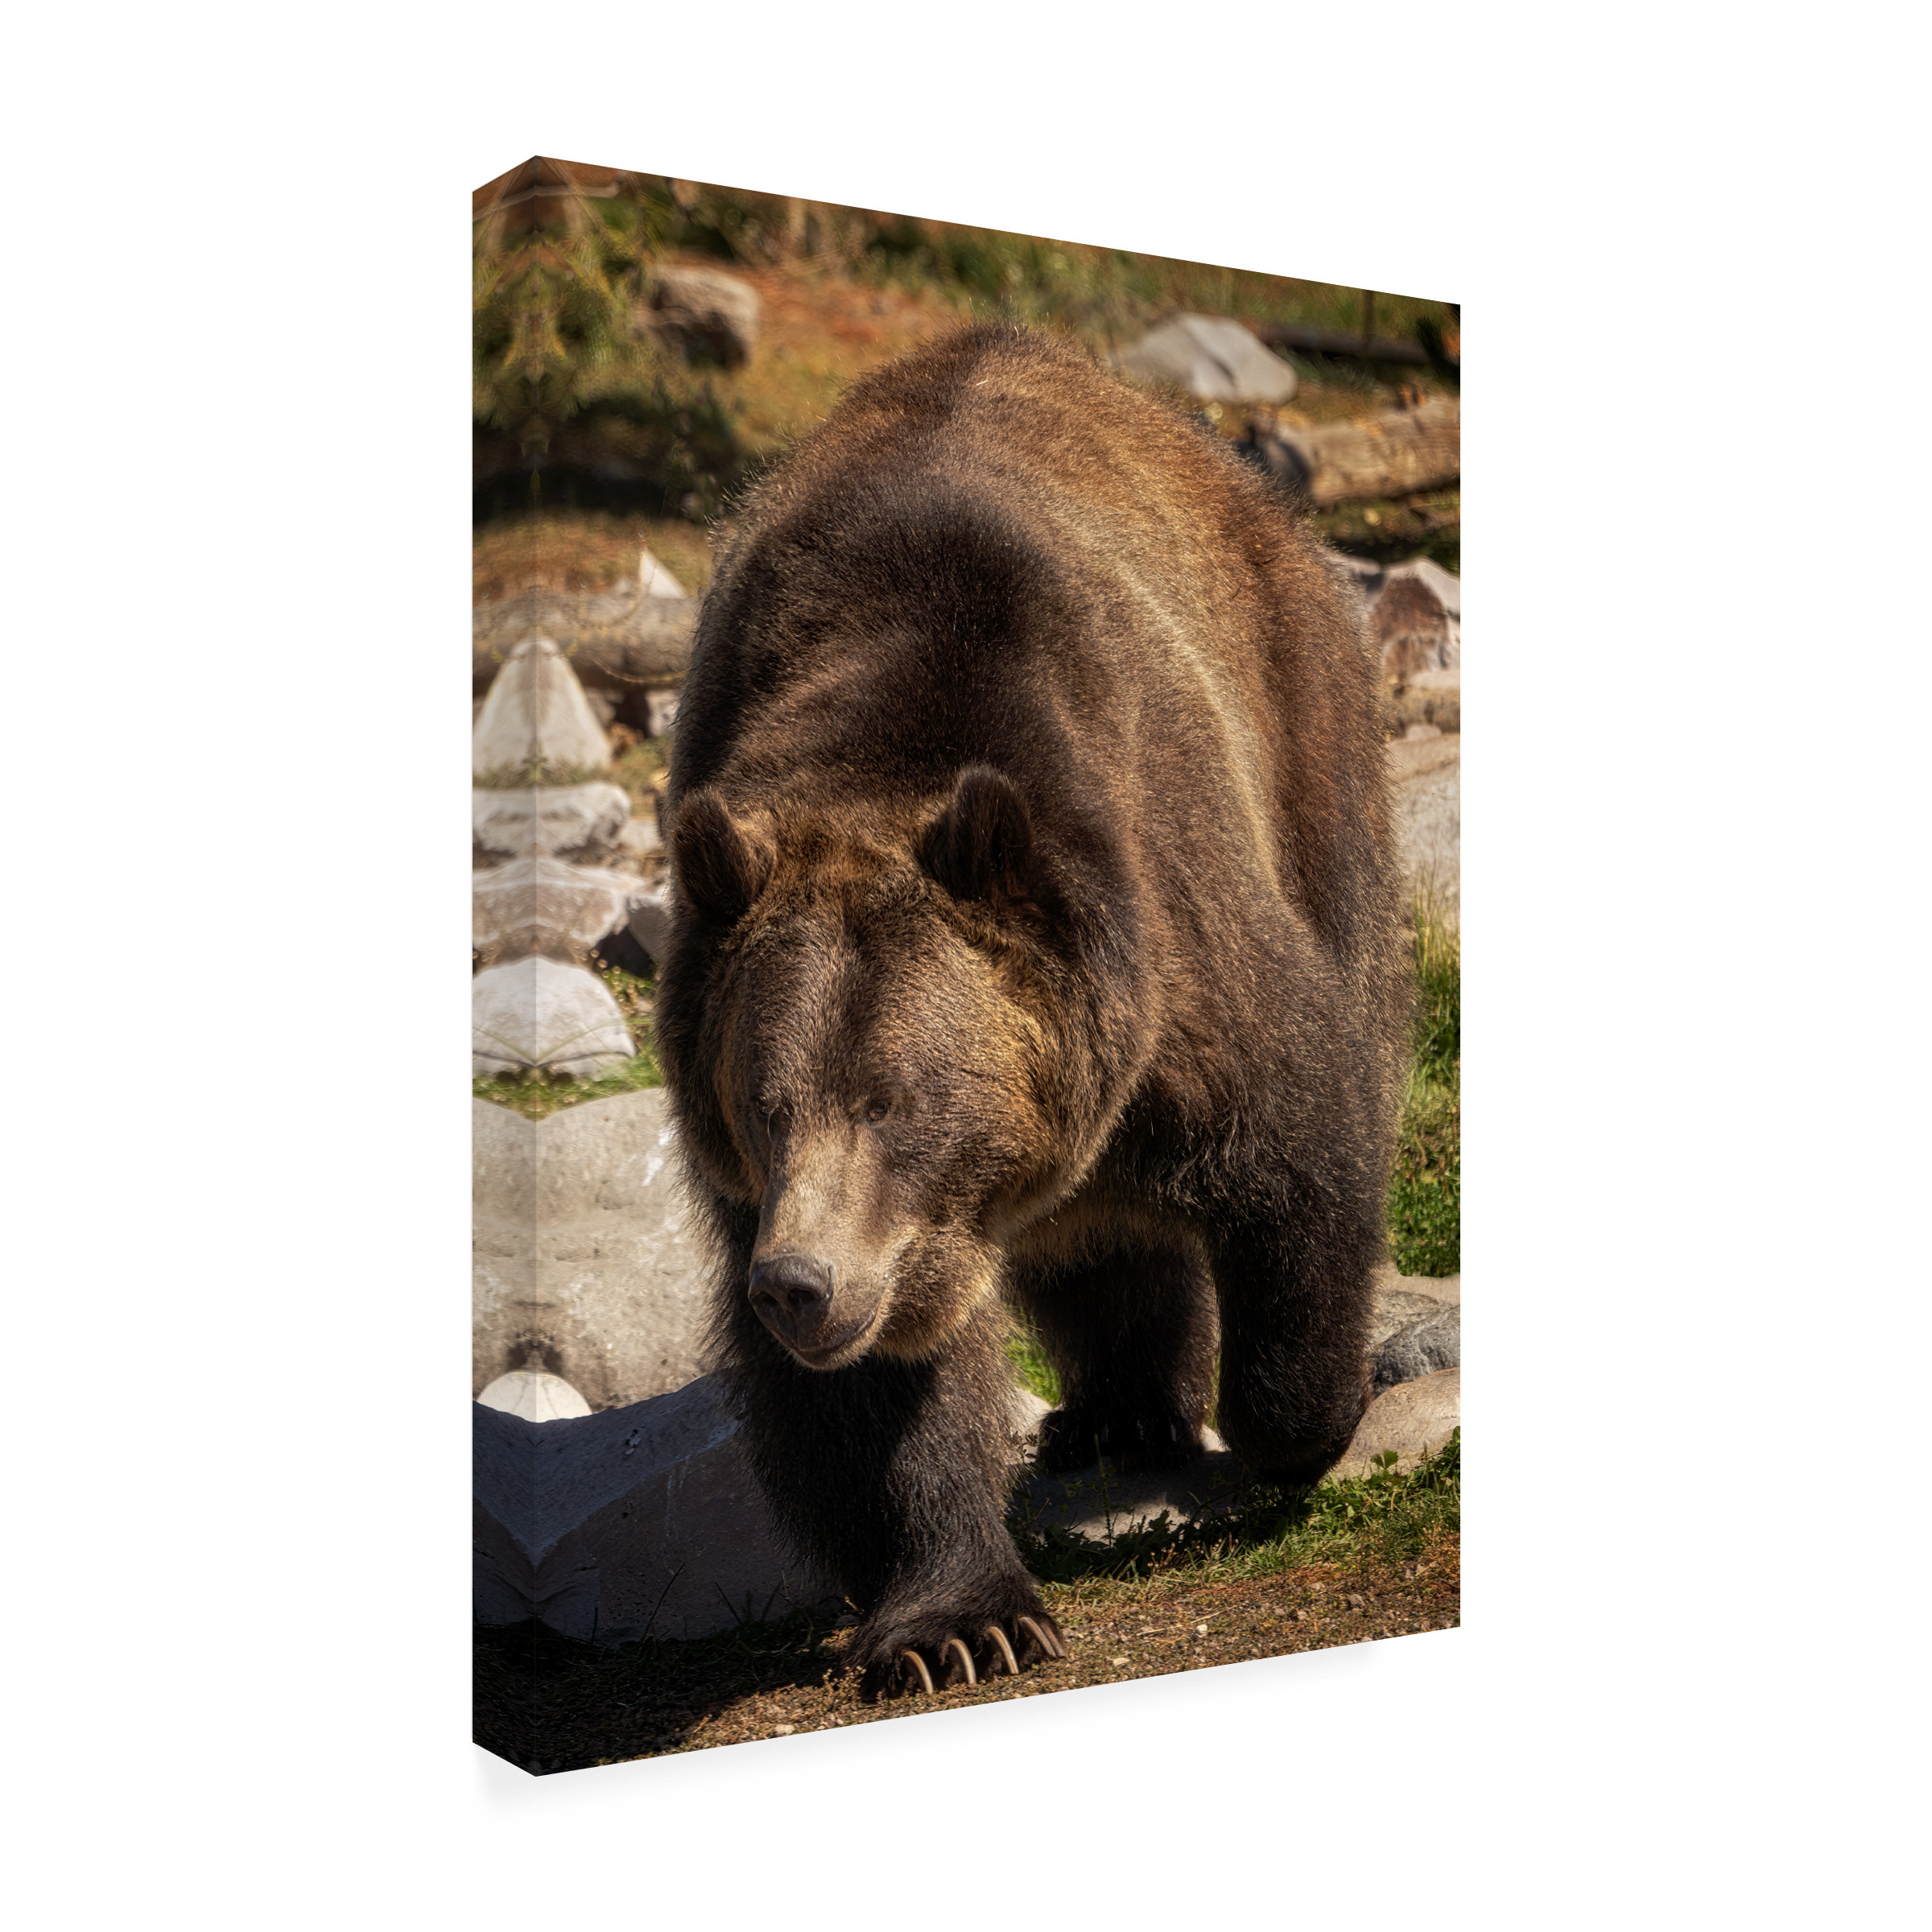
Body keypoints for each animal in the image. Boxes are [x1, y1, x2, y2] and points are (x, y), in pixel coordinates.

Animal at [655, 322, 1409, 1701]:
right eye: (768, 1106)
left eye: (892, 1101)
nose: (799, 1286)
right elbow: (880, 1402)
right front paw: (962, 1621)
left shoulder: (1171, 922)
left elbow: (1296, 1148)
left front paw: (1294, 1425)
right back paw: (1116, 1405)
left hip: (1301, 715)